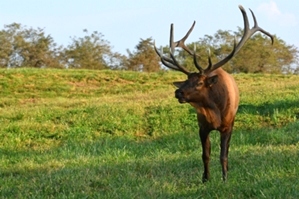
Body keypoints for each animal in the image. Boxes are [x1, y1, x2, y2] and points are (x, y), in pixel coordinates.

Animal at [155, 4, 274, 182]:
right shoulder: (202, 127)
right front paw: (205, 178)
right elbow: (205, 155)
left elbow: (223, 154)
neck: (214, 112)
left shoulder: (227, 126)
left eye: (199, 83)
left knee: (228, 149)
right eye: (185, 80)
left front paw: (225, 178)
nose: (178, 92)